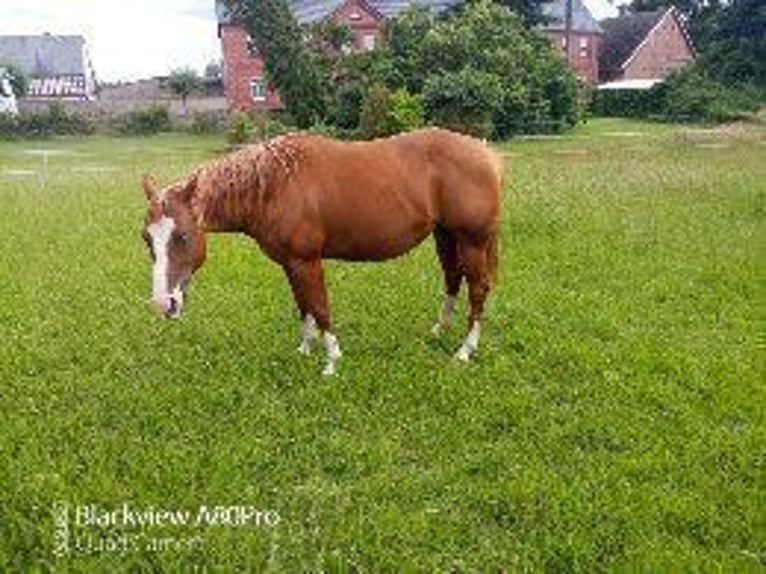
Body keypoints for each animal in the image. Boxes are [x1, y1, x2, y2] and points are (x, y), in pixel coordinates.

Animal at [142, 128, 504, 376]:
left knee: (478, 288)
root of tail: (485, 153)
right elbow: (303, 306)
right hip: (445, 235)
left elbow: (320, 307)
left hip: (472, 240)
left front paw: (331, 360)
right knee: (452, 279)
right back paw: (441, 329)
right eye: (147, 239)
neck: (274, 186)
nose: (163, 304)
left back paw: (465, 350)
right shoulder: (290, 263)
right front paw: (304, 348)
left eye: (183, 236)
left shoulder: (307, 261)